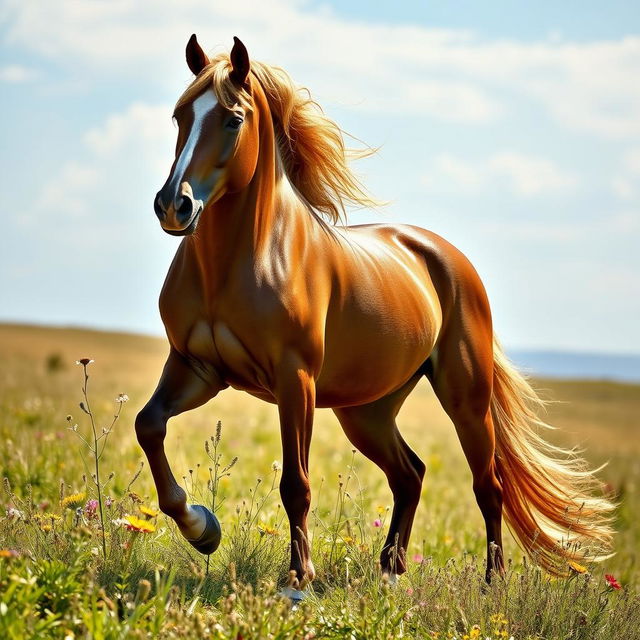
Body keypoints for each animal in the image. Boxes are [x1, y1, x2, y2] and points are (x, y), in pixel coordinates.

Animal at [136, 35, 616, 592]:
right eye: (180, 116)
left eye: (233, 118)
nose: (173, 205)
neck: (240, 261)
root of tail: (447, 257)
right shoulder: (198, 368)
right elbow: (149, 426)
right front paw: (202, 528)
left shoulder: (294, 379)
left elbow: (295, 484)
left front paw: (298, 578)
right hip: (367, 412)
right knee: (410, 474)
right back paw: (390, 571)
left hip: (465, 399)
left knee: (488, 485)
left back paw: (491, 583)